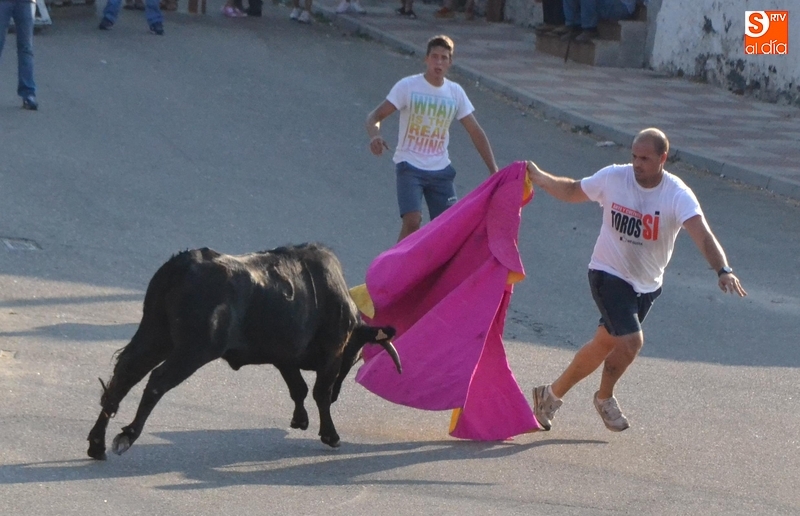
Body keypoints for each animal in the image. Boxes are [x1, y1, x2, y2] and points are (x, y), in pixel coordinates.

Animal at [86, 243, 401, 460]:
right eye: (354, 354)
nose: (339, 393)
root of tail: (181, 265)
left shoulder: (284, 355)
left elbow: (297, 388)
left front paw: (300, 420)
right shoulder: (331, 354)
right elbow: (318, 393)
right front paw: (330, 435)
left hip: (155, 334)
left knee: (125, 373)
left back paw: (97, 444)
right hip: (192, 350)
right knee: (156, 380)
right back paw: (127, 436)